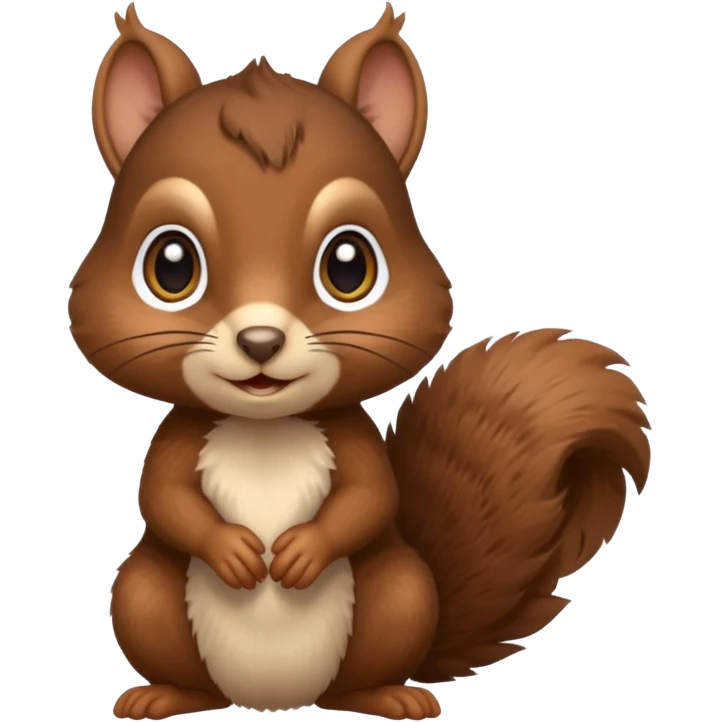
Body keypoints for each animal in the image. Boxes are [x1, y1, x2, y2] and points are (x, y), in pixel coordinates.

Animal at [70, 3, 653, 721]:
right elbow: (164, 497)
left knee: (363, 672)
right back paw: (163, 694)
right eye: (169, 266)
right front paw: (234, 550)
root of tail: (274, 700)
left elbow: (373, 499)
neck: (265, 428)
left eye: (350, 266)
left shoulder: (354, 442)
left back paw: (389, 696)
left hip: (398, 596)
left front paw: (300, 551)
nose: (260, 342)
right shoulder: (178, 440)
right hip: (143, 597)